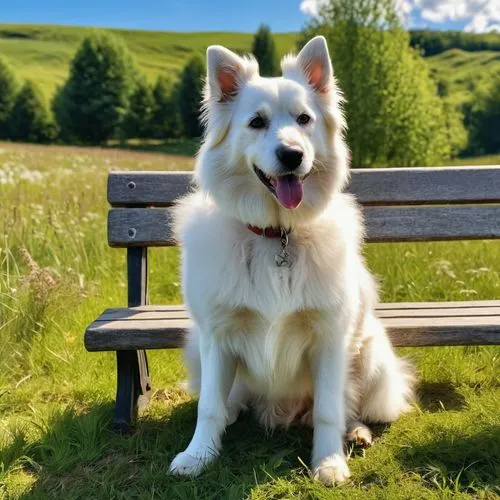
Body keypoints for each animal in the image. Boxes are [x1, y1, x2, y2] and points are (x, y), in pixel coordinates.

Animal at [170, 34, 412, 484]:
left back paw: (356, 432)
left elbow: (329, 410)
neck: (277, 236)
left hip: (370, 350)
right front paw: (198, 455)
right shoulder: (217, 336)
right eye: (256, 122)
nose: (292, 155)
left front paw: (329, 462)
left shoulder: (330, 338)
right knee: (229, 400)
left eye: (304, 119)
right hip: (195, 346)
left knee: (348, 405)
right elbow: (208, 406)